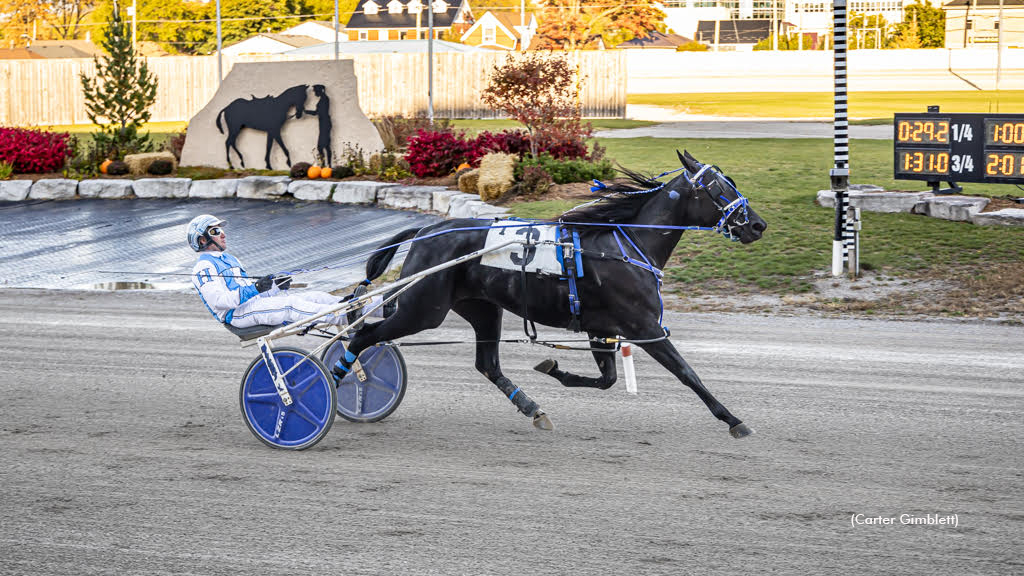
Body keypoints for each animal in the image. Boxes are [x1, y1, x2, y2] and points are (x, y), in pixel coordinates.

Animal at [346, 150, 770, 436]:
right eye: (718, 189)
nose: (758, 225)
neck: (625, 243)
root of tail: (424, 231)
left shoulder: (602, 328)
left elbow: (607, 379)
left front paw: (553, 368)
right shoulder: (644, 326)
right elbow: (686, 372)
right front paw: (733, 420)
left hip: (480, 308)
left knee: (487, 364)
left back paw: (533, 408)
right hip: (422, 309)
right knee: (362, 335)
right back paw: (341, 379)